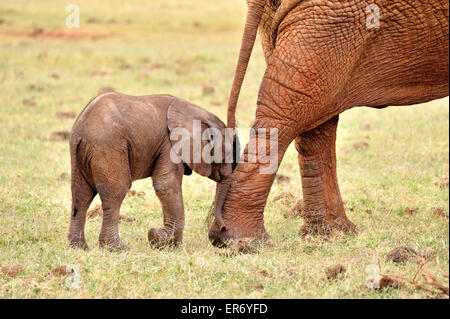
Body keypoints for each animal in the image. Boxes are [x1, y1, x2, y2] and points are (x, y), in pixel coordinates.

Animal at [68, 92, 237, 250]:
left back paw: (79, 247)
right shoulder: (170, 143)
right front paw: (158, 239)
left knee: (81, 195)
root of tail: (81, 128)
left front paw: (171, 245)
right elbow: (166, 184)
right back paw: (117, 248)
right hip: (108, 147)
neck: (196, 112)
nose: (223, 228)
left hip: (80, 154)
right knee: (116, 191)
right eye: (227, 153)